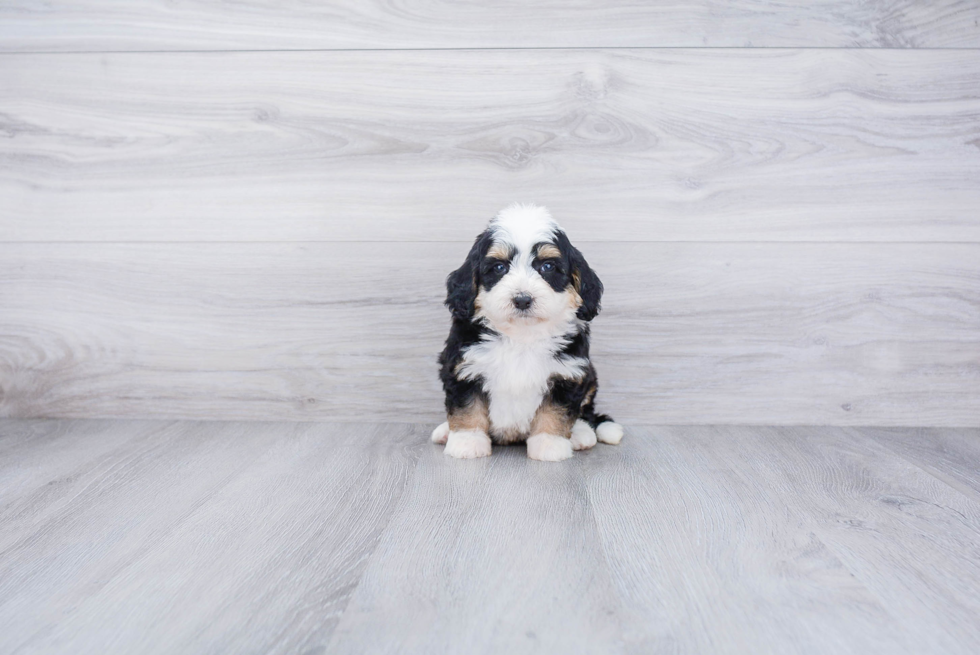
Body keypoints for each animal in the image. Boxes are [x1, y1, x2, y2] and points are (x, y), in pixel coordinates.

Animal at [432, 205, 624, 462]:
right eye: (499, 267)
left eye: (547, 267)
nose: (522, 299)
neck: (521, 335)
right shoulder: (463, 367)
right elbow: (467, 407)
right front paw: (467, 442)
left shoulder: (567, 373)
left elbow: (556, 411)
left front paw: (550, 445)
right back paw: (445, 431)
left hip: (590, 377)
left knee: (586, 413)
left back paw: (581, 434)